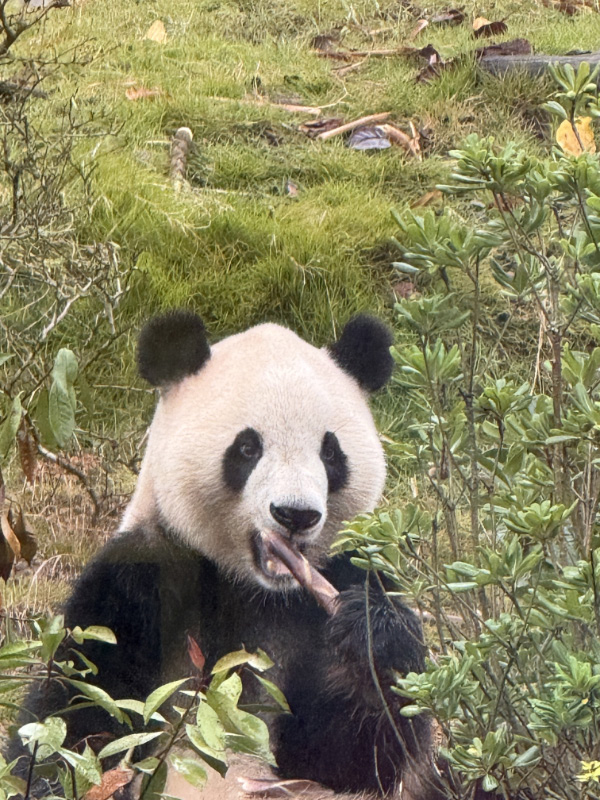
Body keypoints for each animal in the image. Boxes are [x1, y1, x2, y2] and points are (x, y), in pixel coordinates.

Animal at [19, 311, 445, 800]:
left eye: (330, 452)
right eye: (247, 447)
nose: (295, 514)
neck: (250, 584)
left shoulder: (341, 576)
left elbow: (352, 759)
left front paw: (372, 638)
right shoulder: (142, 575)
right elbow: (80, 707)